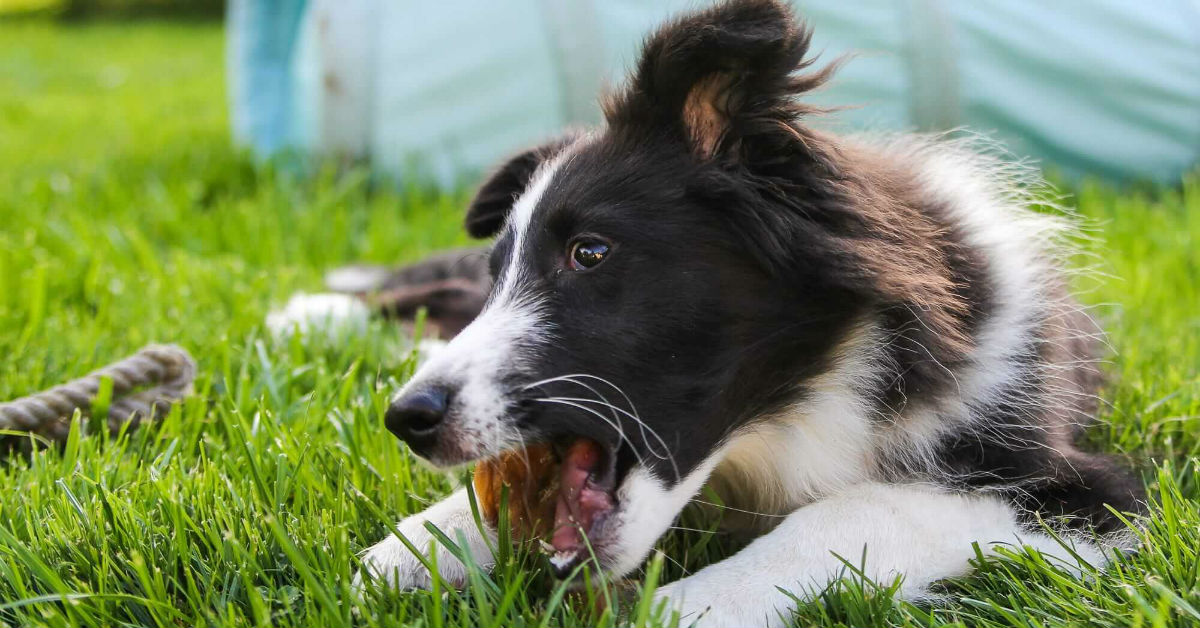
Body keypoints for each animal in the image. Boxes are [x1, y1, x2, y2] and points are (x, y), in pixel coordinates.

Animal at [357, 0, 1142, 624]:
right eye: (500, 276)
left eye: (589, 253)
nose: (408, 419)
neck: (797, 403)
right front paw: (406, 553)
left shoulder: (1086, 493)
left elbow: (861, 507)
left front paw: (689, 606)